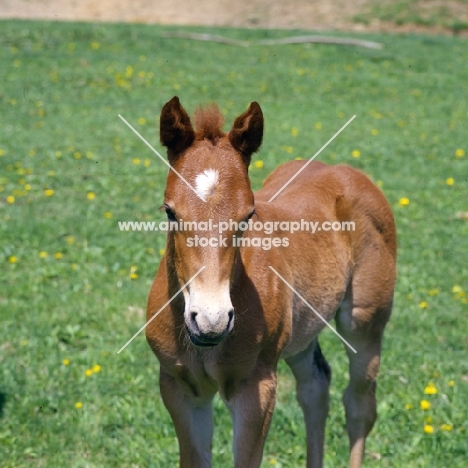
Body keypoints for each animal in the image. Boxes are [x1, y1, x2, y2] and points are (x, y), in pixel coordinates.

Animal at [145, 97, 394, 466]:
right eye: (170, 212)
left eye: (247, 216)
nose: (210, 320)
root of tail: (345, 172)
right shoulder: (180, 388)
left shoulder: (257, 386)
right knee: (316, 387)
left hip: (364, 322)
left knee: (359, 405)